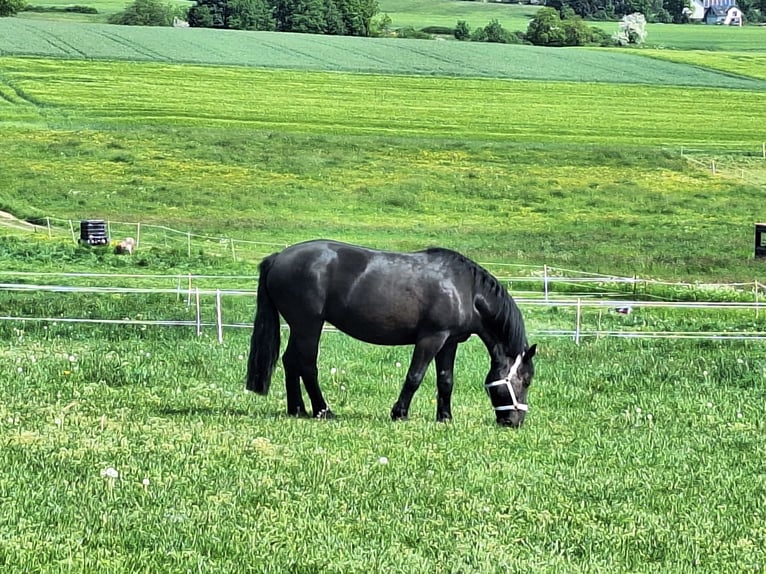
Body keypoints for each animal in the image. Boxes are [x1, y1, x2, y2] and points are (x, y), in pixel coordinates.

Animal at [245, 239, 537, 427]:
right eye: (526, 381)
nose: (514, 421)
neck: (464, 288)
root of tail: (278, 258)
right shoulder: (431, 338)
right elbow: (415, 376)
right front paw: (400, 413)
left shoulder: (449, 342)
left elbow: (445, 380)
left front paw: (445, 418)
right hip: (309, 325)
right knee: (306, 365)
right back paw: (322, 410)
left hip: (300, 327)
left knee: (290, 362)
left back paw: (297, 409)